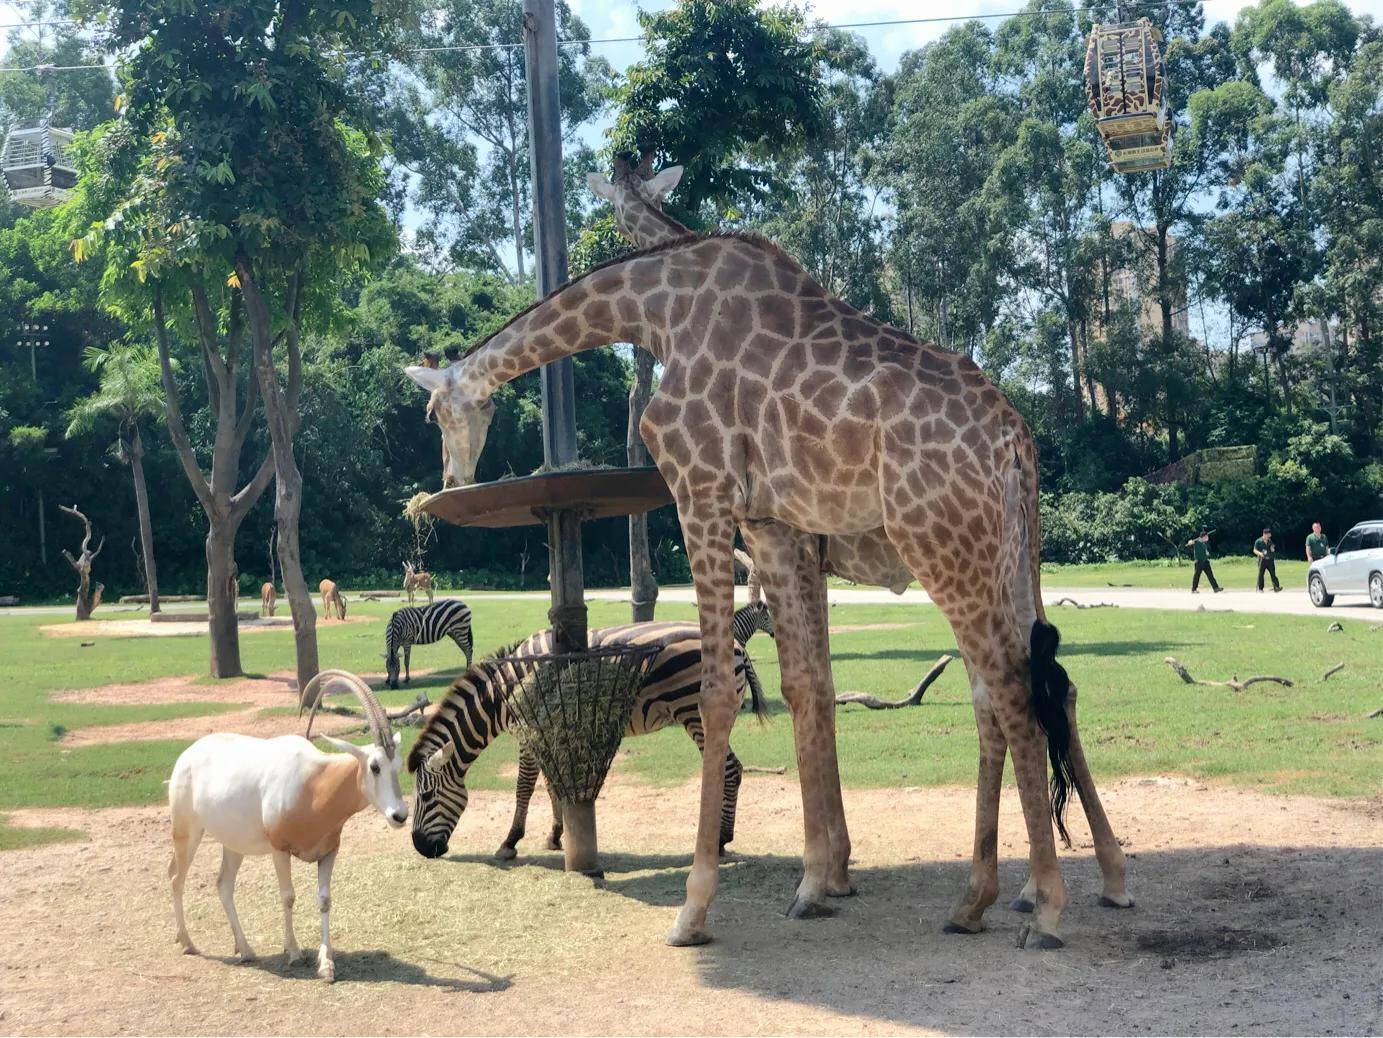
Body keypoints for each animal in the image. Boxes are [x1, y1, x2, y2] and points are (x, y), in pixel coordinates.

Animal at [403, 621, 774, 862]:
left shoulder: (528, 729)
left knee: (730, 769)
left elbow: (524, 786)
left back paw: (722, 839)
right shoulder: (548, 729)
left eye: (426, 796)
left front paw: (510, 841)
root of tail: (738, 646)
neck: (502, 693)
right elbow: (551, 784)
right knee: (731, 768)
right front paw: (556, 835)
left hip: (694, 713)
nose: (421, 848)